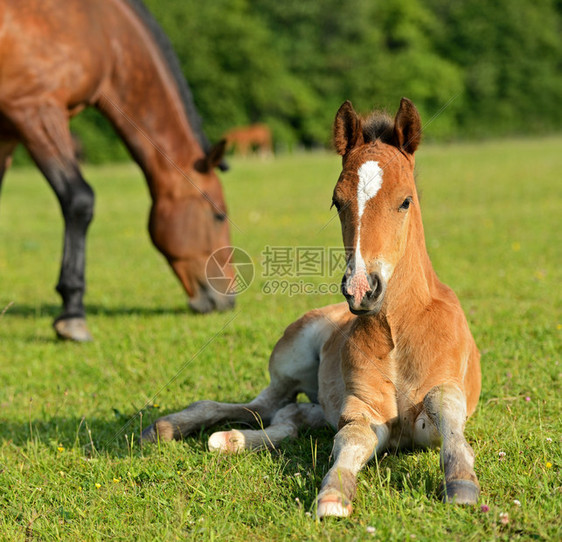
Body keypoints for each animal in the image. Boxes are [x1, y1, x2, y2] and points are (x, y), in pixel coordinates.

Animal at [0, 0, 234, 342]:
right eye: (218, 215)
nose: (228, 298)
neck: (105, 34)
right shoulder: (34, 109)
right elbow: (79, 199)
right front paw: (72, 315)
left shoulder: (7, 132)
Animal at [142, 100, 480, 520]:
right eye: (338, 202)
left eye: (406, 200)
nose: (361, 289)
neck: (398, 331)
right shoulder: (360, 409)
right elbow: (351, 439)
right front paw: (334, 494)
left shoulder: (436, 407)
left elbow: (444, 409)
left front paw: (462, 483)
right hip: (291, 362)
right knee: (262, 406)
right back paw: (172, 428)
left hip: (317, 401)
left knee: (290, 417)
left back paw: (229, 440)